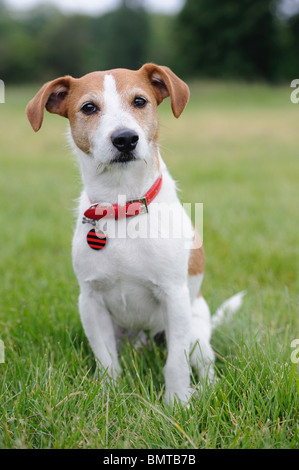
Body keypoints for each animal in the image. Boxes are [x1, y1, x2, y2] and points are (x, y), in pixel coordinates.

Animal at [26, 64, 246, 406]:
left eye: (140, 101)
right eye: (88, 107)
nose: (125, 138)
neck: (121, 206)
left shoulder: (174, 297)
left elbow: (176, 362)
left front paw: (177, 403)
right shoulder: (90, 301)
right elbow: (106, 360)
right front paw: (108, 396)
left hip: (196, 329)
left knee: (205, 363)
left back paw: (203, 390)